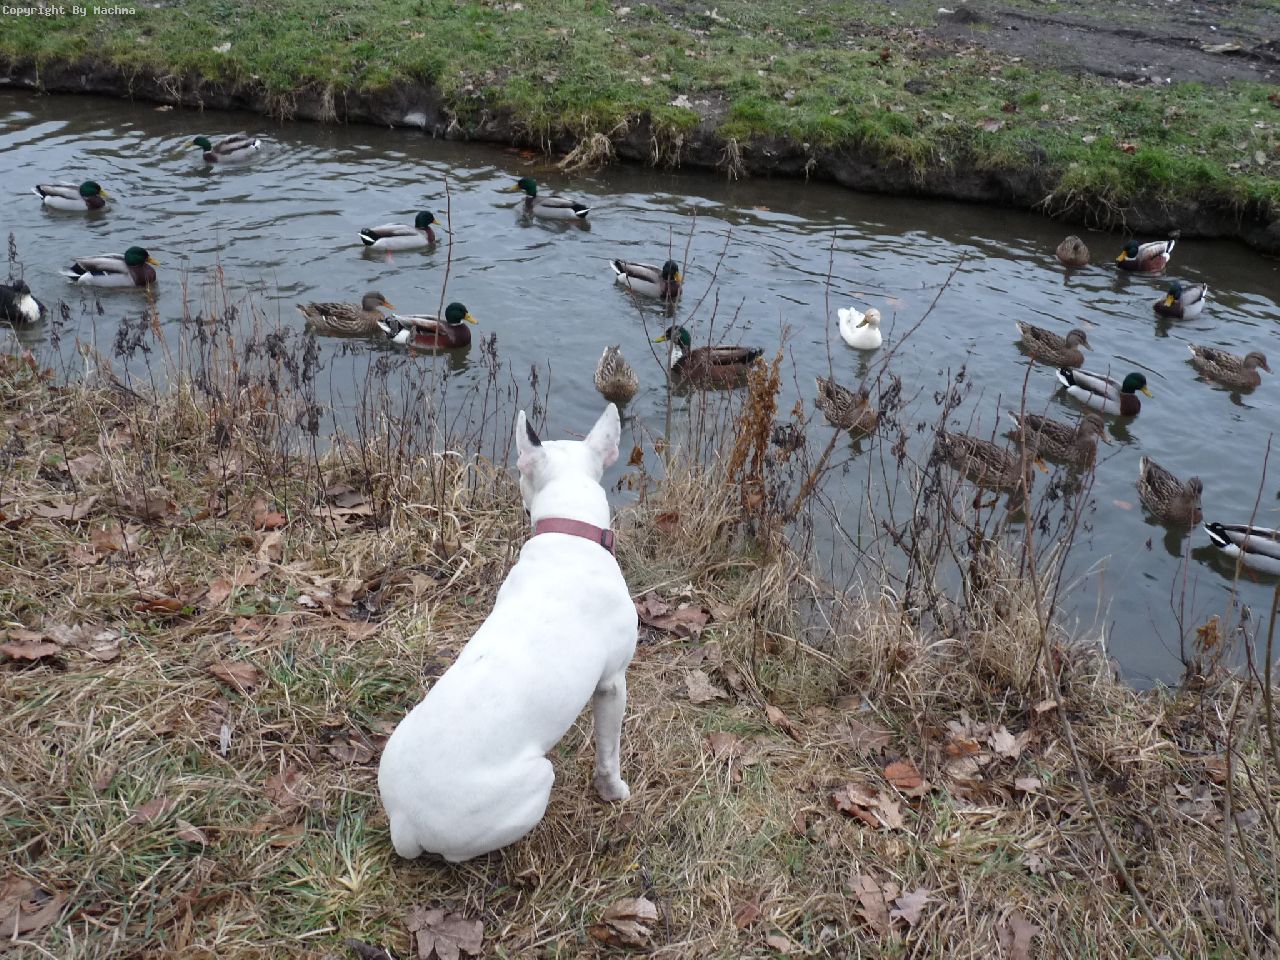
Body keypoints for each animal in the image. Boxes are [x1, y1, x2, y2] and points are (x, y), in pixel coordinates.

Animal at [378, 404, 637, 862]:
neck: (570, 533)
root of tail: (404, 821)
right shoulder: (611, 683)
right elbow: (609, 752)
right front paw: (613, 791)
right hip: (535, 780)